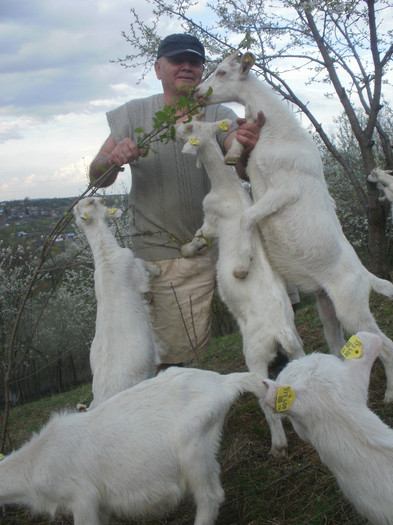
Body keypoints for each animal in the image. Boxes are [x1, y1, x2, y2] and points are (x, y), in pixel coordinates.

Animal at [0, 366, 266, 520]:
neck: (35, 461)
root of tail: (224, 383)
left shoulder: (82, 498)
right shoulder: (100, 505)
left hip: (194, 449)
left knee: (210, 497)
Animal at [72, 198, 160, 410]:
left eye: (80, 206)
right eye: (93, 201)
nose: (102, 198)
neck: (106, 256)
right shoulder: (136, 269)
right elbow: (145, 266)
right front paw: (158, 269)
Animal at [175, 114, 304, 454]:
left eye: (190, 127)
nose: (176, 125)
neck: (226, 185)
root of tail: (280, 331)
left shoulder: (210, 219)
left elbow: (200, 238)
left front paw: (186, 250)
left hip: (255, 356)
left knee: (267, 399)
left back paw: (278, 445)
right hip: (298, 349)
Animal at [196, 52, 393, 402]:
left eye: (221, 72)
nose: (195, 94)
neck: (279, 134)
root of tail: (364, 273)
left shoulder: (283, 190)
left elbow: (247, 218)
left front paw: (242, 266)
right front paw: (233, 153)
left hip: (352, 306)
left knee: (385, 344)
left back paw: (388, 396)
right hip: (328, 307)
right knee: (339, 342)